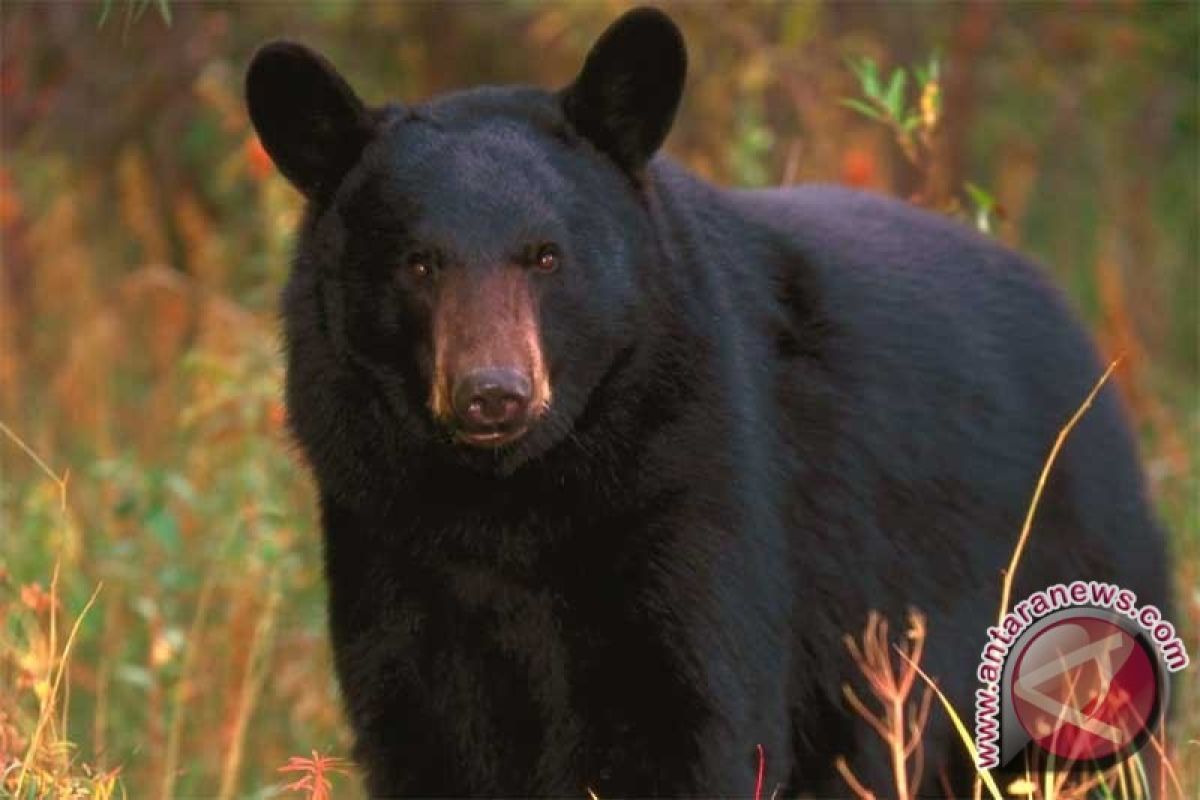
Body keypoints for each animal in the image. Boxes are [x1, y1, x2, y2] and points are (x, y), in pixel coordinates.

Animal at [246, 7, 1171, 800]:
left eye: (547, 256)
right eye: (418, 262)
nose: (492, 395)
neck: (511, 502)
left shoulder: (694, 486)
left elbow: (695, 718)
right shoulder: (387, 534)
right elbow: (420, 727)